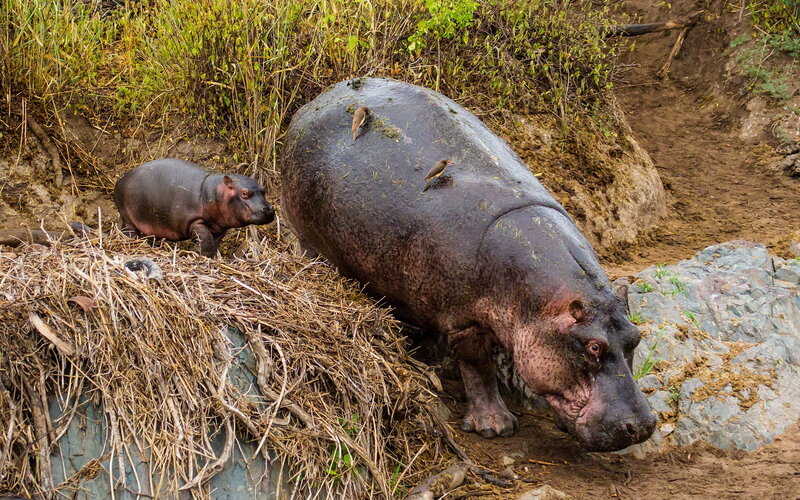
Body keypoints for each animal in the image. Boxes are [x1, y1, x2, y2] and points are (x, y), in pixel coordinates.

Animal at [114, 159, 274, 257]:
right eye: (244, 193)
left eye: (263, 189)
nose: (269, 210)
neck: (214, 192)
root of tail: (120, 179)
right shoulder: (195, 221)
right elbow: (206, 240)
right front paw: (196, 254)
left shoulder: (220, 228)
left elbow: (214, 243)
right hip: (128, 217)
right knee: (130, 232)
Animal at [280, 78, 656, 451]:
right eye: (593, 347)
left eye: (635, 337)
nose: (642, 426)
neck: (544, 306)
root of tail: (316, 100)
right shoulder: (465, 321)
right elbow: (478, 367)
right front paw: (495, 427)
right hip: (308, 239)